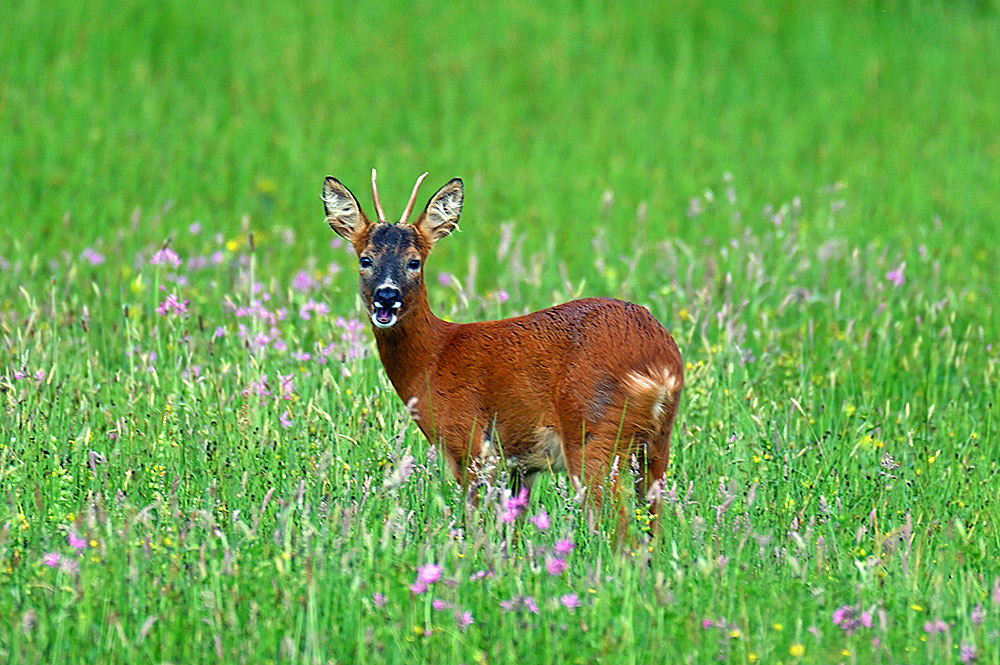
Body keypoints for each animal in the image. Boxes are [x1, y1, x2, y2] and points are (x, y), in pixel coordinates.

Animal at [323, 170, 683, 524]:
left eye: (414, 262)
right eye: (365, 259)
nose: (387, 296)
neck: (433, 357)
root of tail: (661, 363)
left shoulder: (469, 442)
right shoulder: (521, 463)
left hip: (592, 432)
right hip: (656, 443)